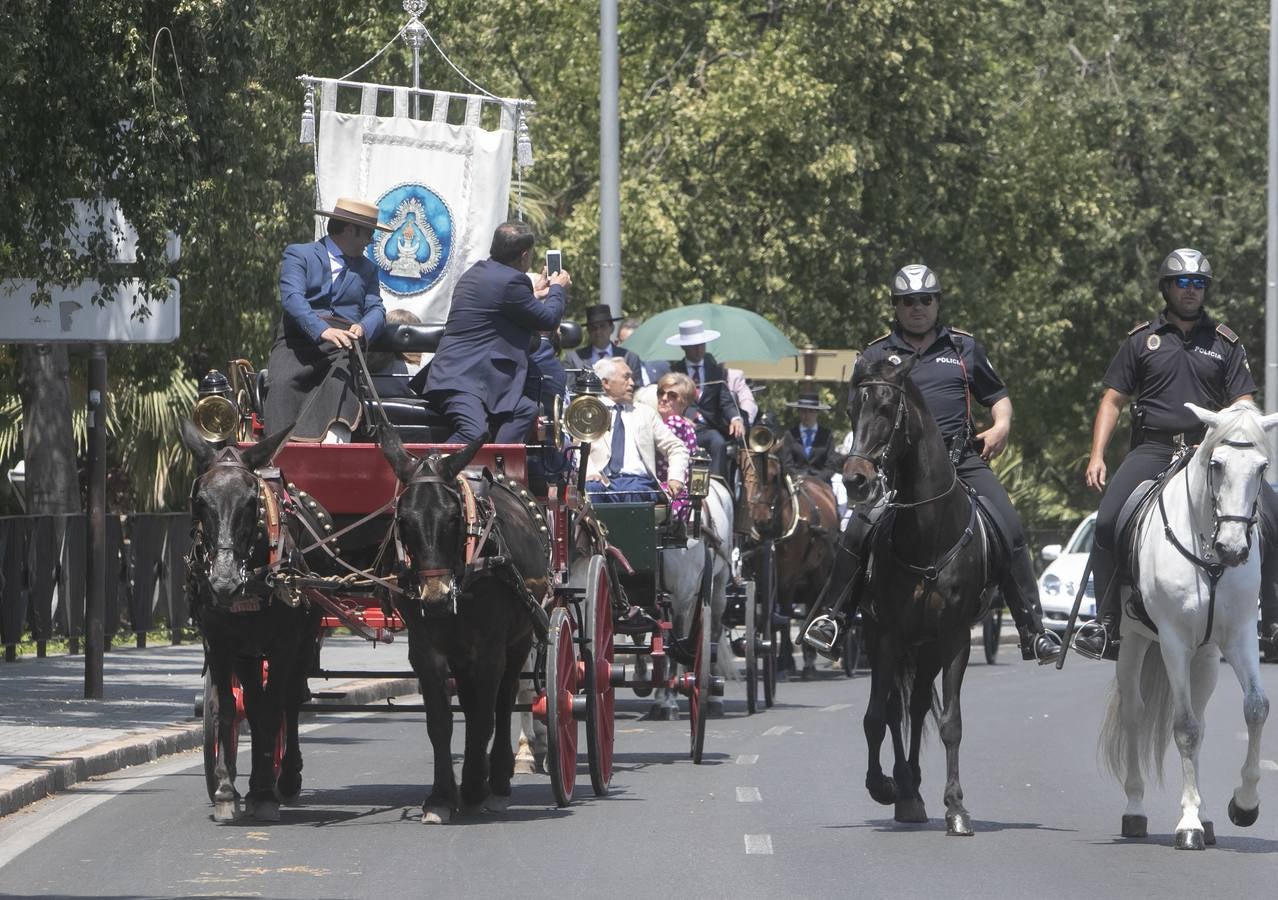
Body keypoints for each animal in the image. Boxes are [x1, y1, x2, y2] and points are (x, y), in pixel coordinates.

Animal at [178, 421, 319, 823]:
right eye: (200, 501)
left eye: (250, 502)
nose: (223, 582)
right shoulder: (220, 643)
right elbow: (228, 708)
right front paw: (226, 790)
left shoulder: (286, 642)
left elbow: (274, 709)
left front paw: (264, 793)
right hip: (249, 653)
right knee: (253, 705)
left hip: (305, 639)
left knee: (289, 700)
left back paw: (283, 779)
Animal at [373, 426, 544, 823]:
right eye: (403, 520)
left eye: (453, 518)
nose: (435, 596)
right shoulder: (426, 651)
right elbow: (441, 722)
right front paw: (441, 796)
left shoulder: (491, 650)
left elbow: (485, 716)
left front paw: (475, 788)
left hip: (519, 640)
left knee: (505, 700)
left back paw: (498, 779)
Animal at [843, 352, 1001, 838]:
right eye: (851, 410)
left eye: (886, 409)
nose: (855, 480)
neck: (928, 534)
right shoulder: (883, 634)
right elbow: (876, 716)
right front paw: (882, 785)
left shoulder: (953, 639)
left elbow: (950, 722)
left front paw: (956, 808)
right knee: (898, 711)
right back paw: (904, 791)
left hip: (928, 648)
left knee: (915, 708)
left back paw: (913, 786)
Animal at [1099, 401, 1278, 848]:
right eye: (1216, 464)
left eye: (1263, 467)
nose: (1233, 549)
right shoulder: (1174, 641)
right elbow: (1184, 728)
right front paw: (1189, 825)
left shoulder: (1239, 636)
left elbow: (1256, 707)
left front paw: (1243, 805)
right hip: (1133, 644)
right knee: (1135, 712)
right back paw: (1135, 810)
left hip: (1207, 656)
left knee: (1200, 713)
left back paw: (1209, 816)